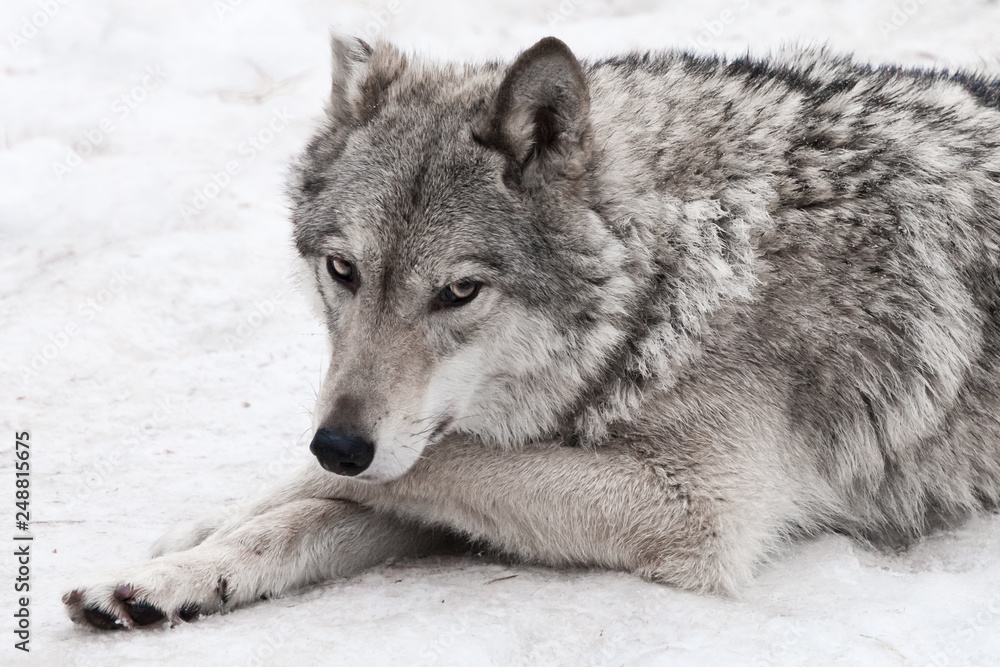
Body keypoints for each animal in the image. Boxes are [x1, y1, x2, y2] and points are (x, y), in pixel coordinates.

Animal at [64, 36, 1000, 629]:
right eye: (342, 270)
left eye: (460, 291)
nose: (339, 441)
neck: (665, 275)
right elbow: (329, 503)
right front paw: (178, 563)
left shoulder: (695, 511)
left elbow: (416, 466)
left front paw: (227, 517)